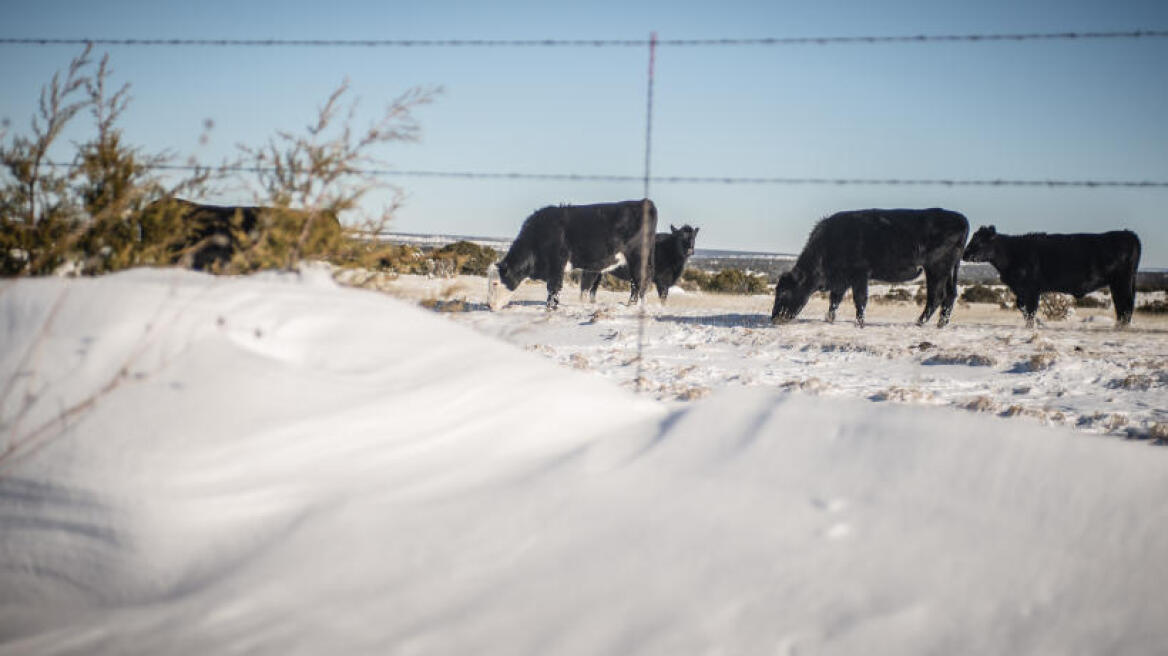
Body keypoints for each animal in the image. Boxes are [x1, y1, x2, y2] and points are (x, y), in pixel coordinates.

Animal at [485, 198, 658, 310]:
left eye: (495, 283)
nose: (489, 305)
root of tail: (644, 202)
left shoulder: (557, 263)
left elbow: (553, 288)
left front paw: (550, 308)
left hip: (638, 256)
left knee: (641, 281)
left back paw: (638, 307)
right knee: (635, 283)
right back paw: (631, 305)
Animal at [770, 206, 971, 326]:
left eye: (784, 292)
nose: (774, 318)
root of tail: (960, 218)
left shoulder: (859, 274)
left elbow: (859, 299)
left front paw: (860, 323)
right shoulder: (842, 280)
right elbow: (834, 300)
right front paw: (829, 319)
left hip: (937, 269)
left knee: (936, 296)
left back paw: (919, 323)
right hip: (951, 270)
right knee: (950, 295)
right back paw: (940, 324)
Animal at [957, 224, 1139, 326]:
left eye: (981, 241)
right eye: (973, 238)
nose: (964, 254)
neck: (1012, 253)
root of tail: (1128, 234)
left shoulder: (1031, 290)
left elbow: (1030, 310)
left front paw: (1033, 326)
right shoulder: (1020, 290)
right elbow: (1022, 308)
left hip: (1121, 282)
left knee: (1125, 306)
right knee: (1123, 307)